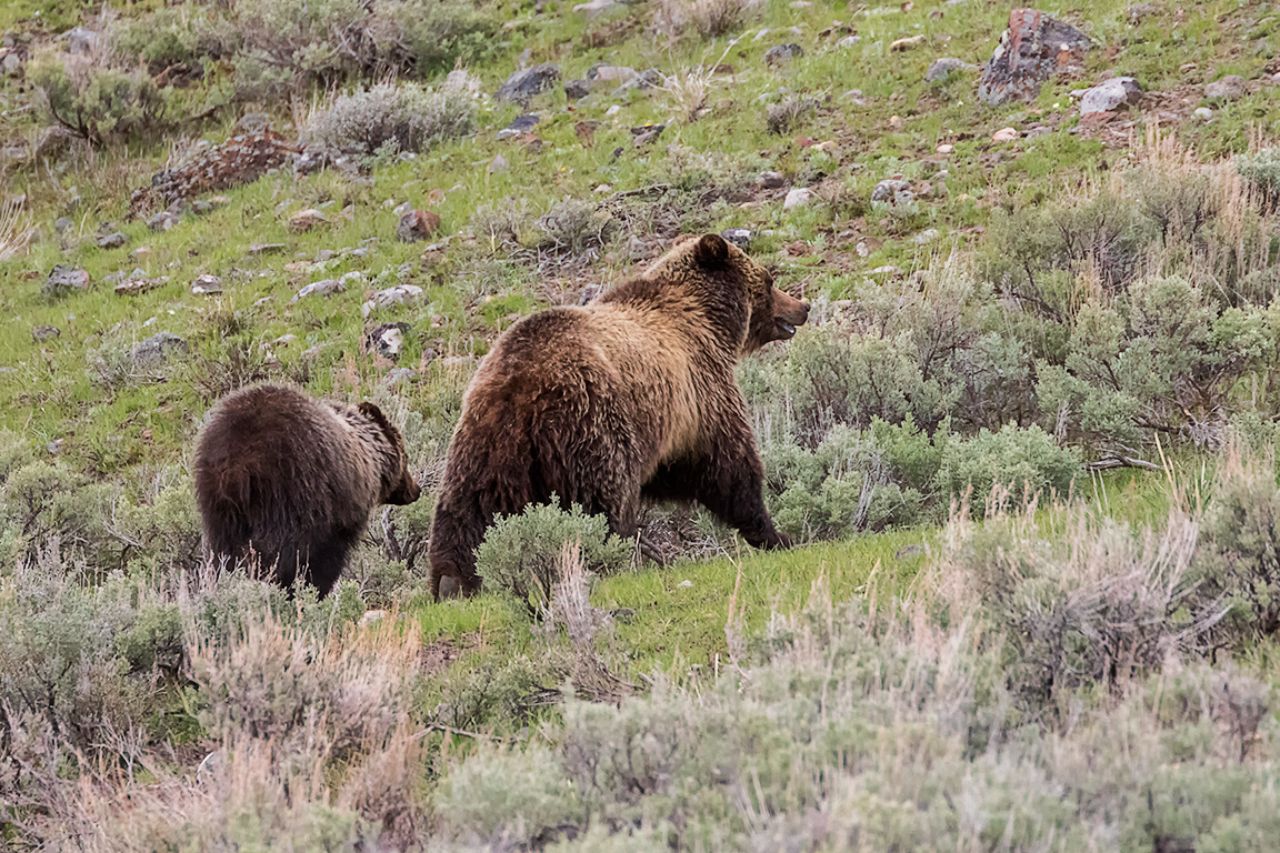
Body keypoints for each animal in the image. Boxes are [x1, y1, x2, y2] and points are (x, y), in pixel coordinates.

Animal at [193, 383, 421, 596]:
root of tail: (236, 466)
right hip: (288, 490)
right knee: (279, 553)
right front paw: (318, 588)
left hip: (218, 507)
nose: (416, 489)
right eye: (406, 456)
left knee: (222, 553)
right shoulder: (338, 513)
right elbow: (326, 558)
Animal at [428, 233, 809, 599]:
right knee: (603, 501)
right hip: (592, 425)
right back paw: (609, 557)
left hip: (484, 441)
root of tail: (522, 385)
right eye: (769, 281)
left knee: (466, 507)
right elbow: (729, 467)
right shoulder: (701, 391)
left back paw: (451, 581)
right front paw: (776, 534)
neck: (710, 320)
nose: (803, 306)